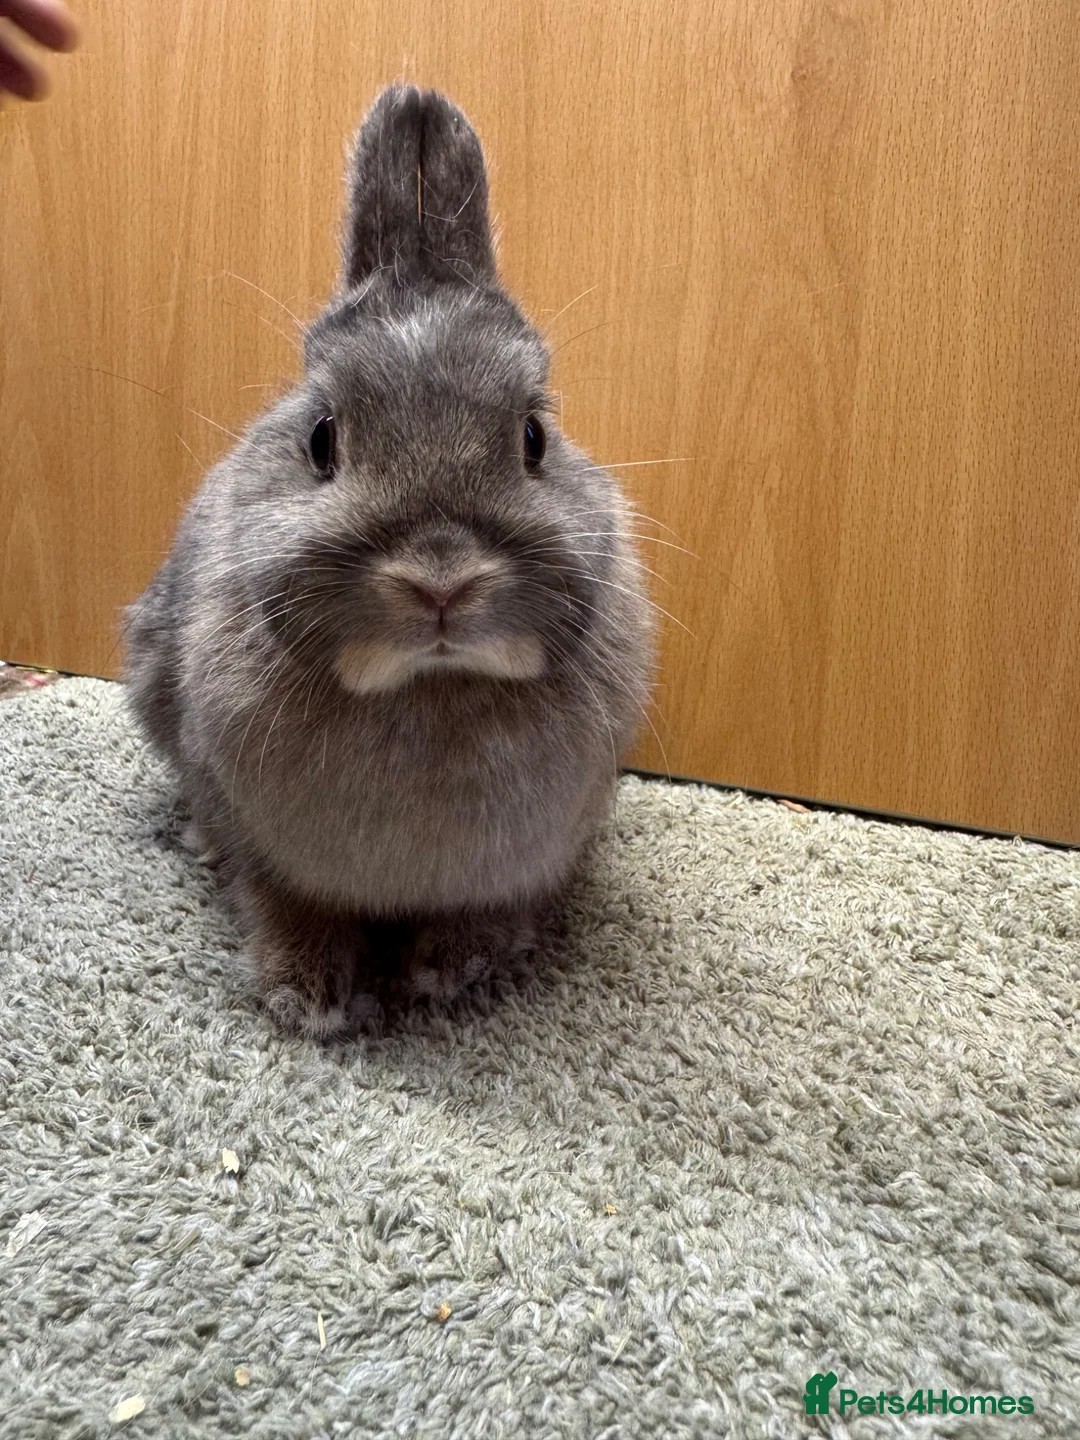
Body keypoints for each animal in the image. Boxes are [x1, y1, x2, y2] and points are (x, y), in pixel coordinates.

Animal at [125, 84, 655, 1036]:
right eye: (321, 439)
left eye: (534, 437)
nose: (440, 582)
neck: (427, 688)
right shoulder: (254, 826)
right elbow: (282, 896)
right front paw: (306, 993)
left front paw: (454, 970)